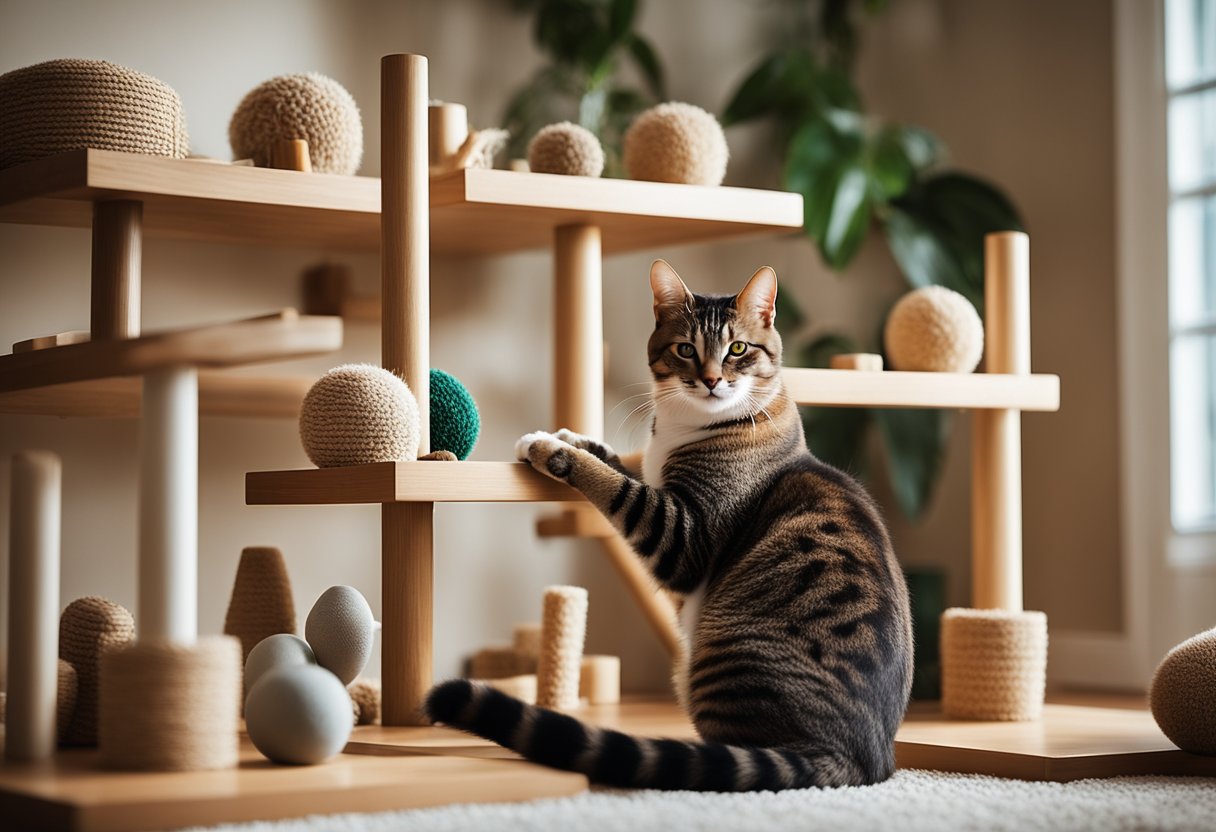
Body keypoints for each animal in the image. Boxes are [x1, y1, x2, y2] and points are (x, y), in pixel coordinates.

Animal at [428, 257, 914, 788]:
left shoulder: (682, 535)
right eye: (685, 349)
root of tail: (863, 757)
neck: (685, 426)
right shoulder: (651, 471)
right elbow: (615, 459)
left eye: (738, 349)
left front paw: (551, 449)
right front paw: (566, 435)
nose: (711, 380)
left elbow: (613, 484)